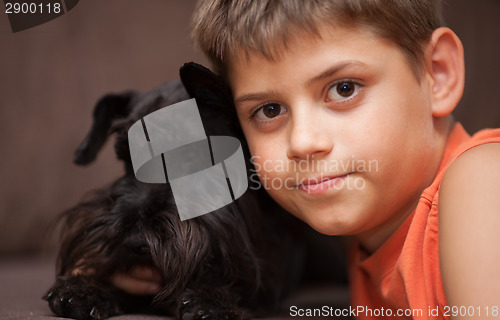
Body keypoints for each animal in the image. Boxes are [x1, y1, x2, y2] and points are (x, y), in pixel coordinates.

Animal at [44, 63, 308, 320]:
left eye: (192, 156)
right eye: (126, 158)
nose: (134, 240)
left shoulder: (272, 273)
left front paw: (210, 299)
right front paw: (86, 287)